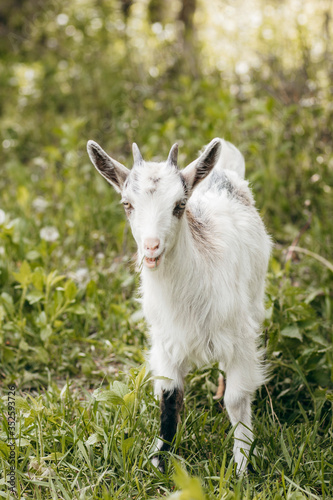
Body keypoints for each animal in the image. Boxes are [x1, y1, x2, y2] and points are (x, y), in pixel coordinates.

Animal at [87, 136, 272, 472]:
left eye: (179, 205)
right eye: (127, 204)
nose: (151, 247)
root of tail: (222, 172)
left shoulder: (240, 339)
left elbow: (237, 399)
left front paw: (242, 465)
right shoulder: (166, 342)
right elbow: (169, 395)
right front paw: (161, 460)